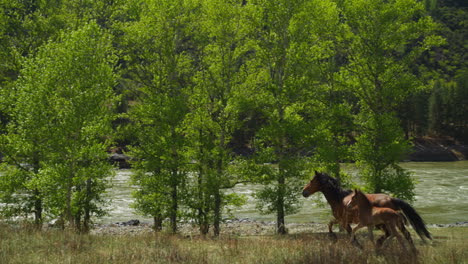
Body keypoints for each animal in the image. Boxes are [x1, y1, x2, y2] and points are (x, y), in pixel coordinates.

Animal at [302, 171, 430, 241]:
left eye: (312, 181)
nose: (304, 192)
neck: (339, 199)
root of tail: (392, 199)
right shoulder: (340, 220)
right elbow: (330, 224)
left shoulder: (345, 222)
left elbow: (349, 233)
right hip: (394, 222)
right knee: (405, 234)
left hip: (385, 223)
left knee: (394, 234)